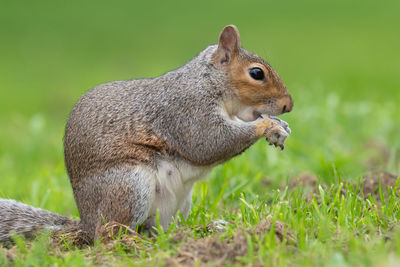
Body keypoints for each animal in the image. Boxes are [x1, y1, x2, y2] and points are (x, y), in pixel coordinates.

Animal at [0, 25, 294, 245]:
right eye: (256, 73)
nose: (288, 106)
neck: (207, 82)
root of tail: (85, 224)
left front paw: (280, 125)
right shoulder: (186, 112)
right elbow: (208, 143)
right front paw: (268, 126)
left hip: (176, 204)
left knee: (155, 229)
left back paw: (192, 233)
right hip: (128, 185)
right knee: (109, 235)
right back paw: (137, 242)